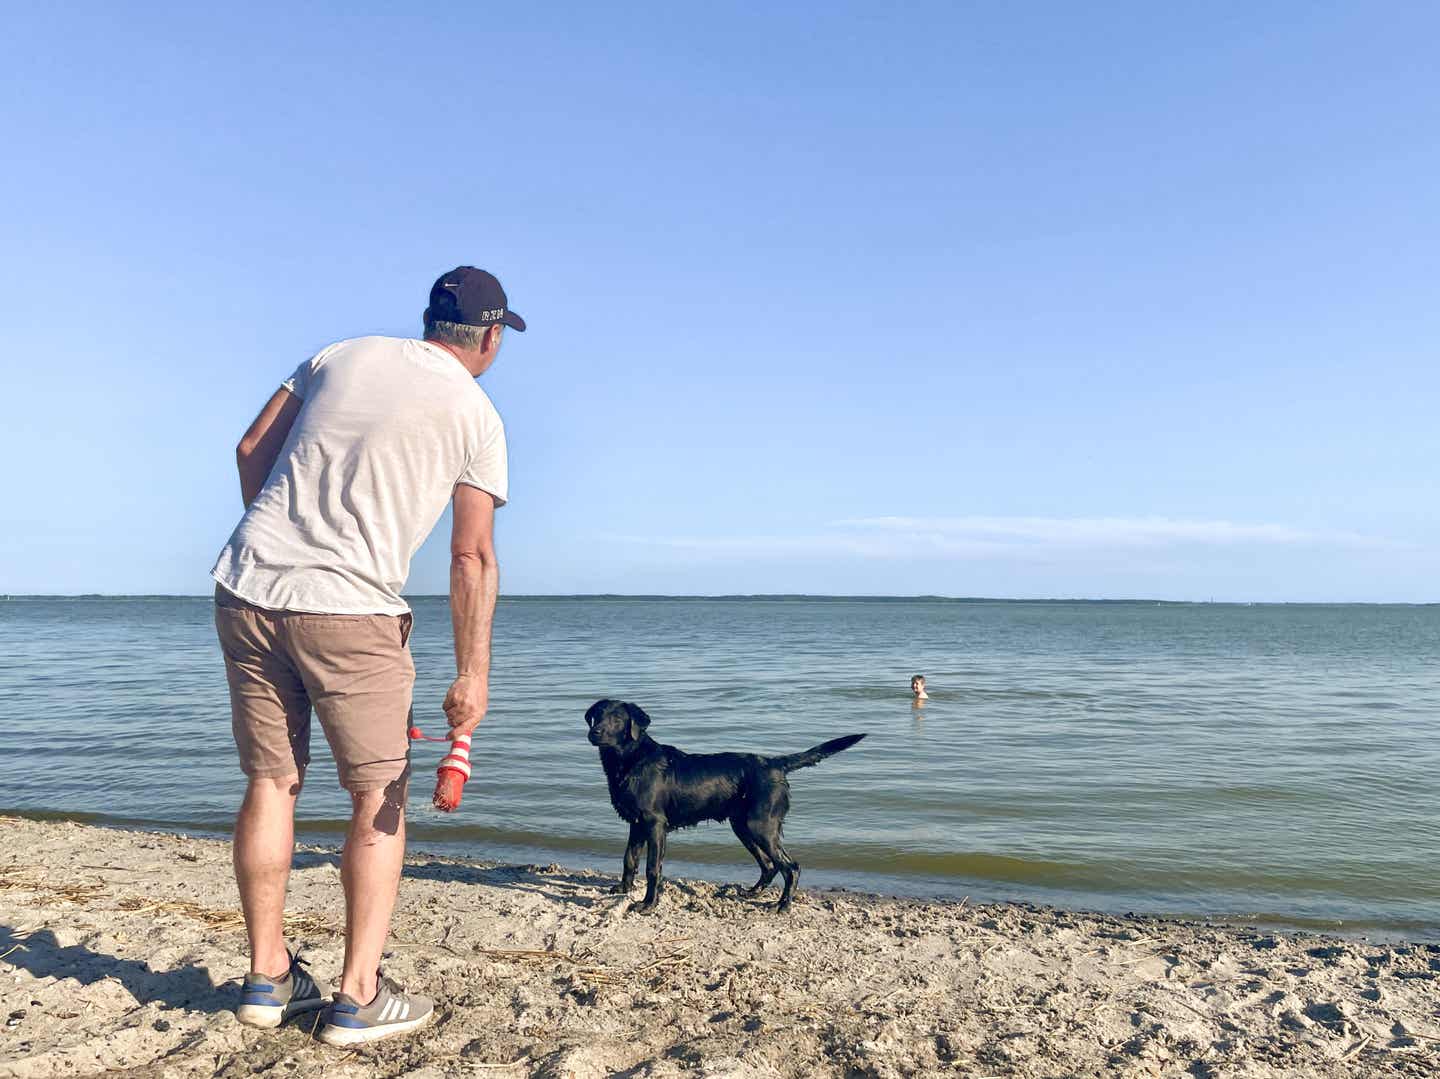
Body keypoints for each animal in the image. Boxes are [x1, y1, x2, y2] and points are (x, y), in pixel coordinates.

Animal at [584, 700, 864, 910]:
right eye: (597, 716)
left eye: (617, 718)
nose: (594, 733)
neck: (632, 761)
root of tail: (775, 764)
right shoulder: (636, 824)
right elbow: (629, 859)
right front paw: (623, 889)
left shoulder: (654, 824)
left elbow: (653, 868)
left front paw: (648, 904)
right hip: (743, 826)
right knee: (770, 865)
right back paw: (753, 893)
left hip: (760, 826)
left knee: (790, 866)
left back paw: (783, 905)